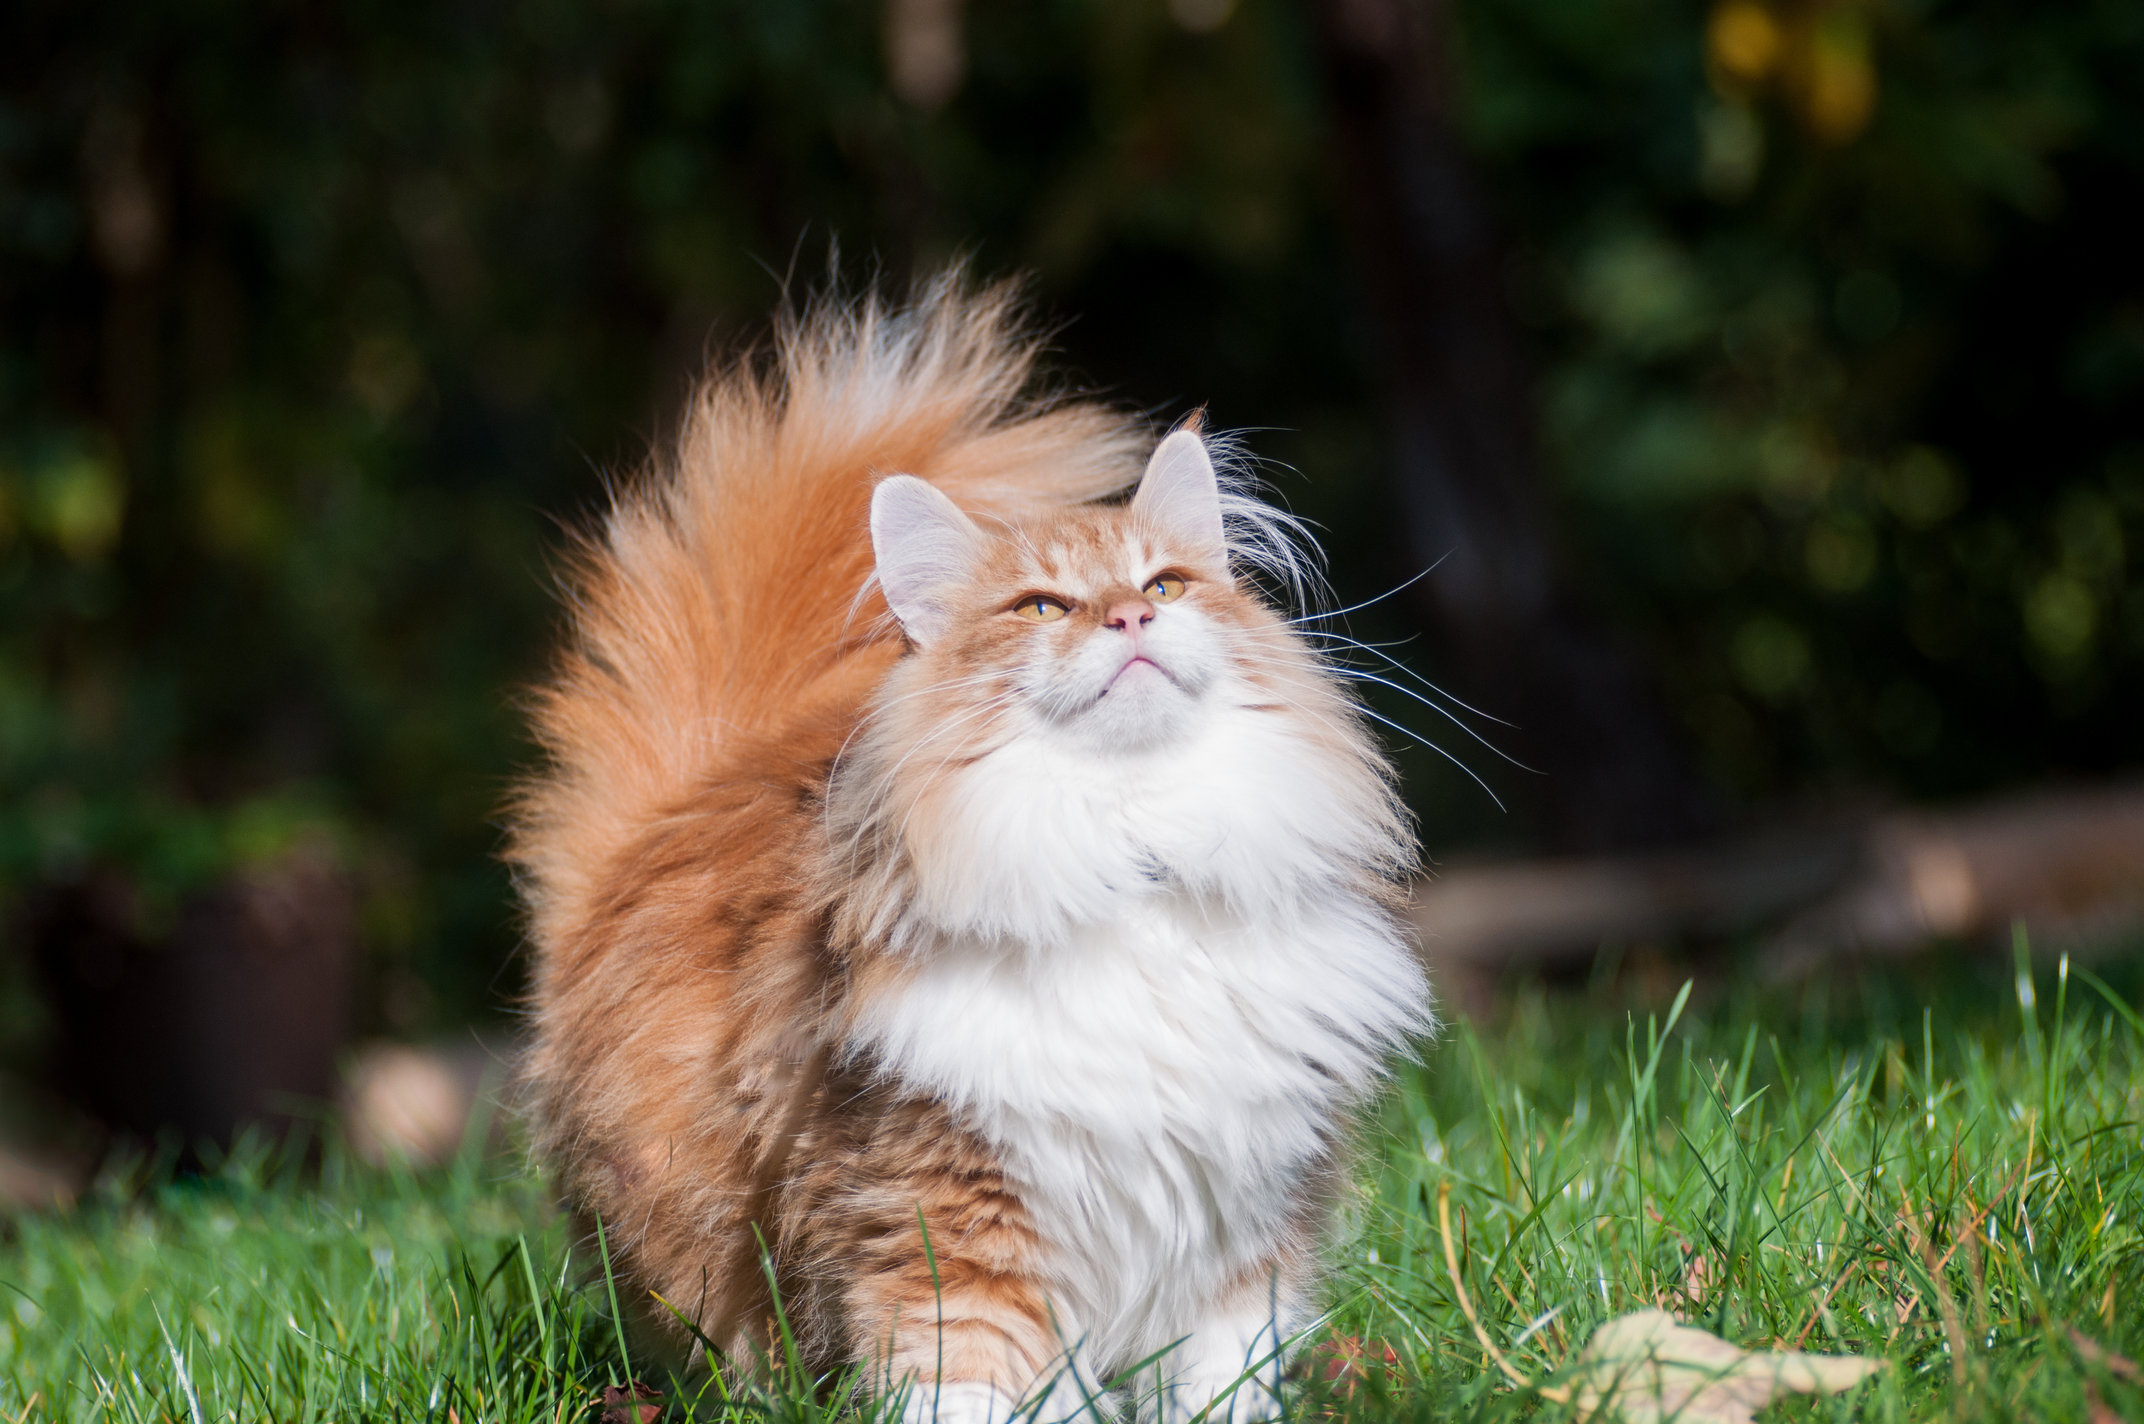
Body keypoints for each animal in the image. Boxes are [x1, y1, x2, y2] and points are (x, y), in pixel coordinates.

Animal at [510, 278, 1432, 1423]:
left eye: (1164, 587)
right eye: (1040, 606)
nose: (1127, 619)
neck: (1128, 856)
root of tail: (685, 795)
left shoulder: (1239, 1241)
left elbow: (1221, 1385)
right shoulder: (957, 1236)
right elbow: (976, 1387)